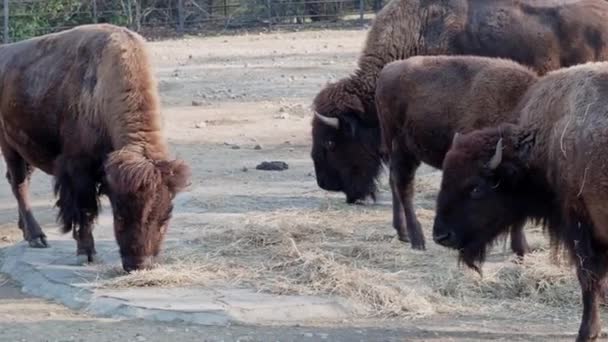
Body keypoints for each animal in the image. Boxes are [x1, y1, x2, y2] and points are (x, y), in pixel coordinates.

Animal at [0, 24, 190, 272]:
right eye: (119, 215)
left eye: (165, 218)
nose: (139, 264)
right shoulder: (79, 169)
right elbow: (85, 208)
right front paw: (86, 253)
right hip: (9, 146)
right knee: (19, 185)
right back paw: (37, 237)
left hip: (25, 149)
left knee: (20, 181)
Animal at [376, 54, 536, 250]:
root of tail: (387, 70)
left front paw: (522, 248)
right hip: (401, 149)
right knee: (404, 187)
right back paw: (417, 239)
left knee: (394, 182)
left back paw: (403, 233)